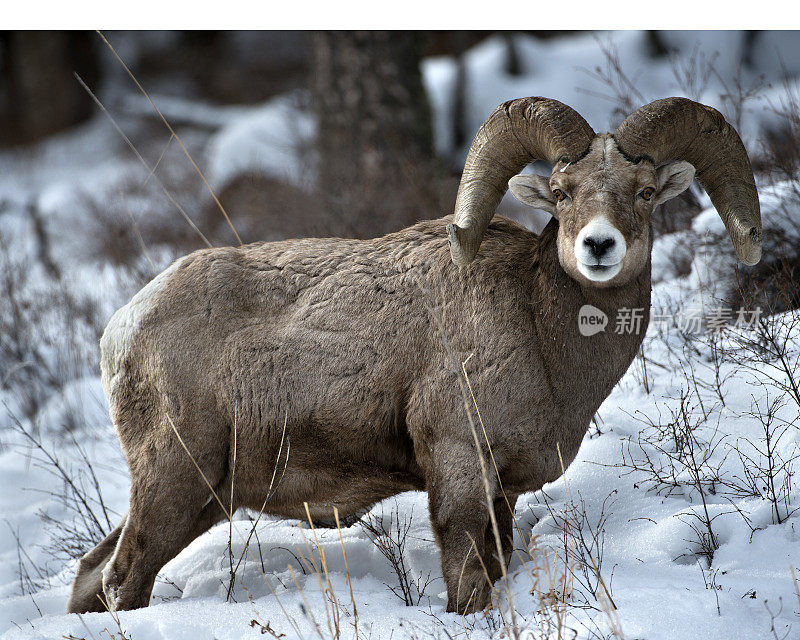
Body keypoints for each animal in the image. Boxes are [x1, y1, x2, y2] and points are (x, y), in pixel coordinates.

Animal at [65, 95, 760, 616]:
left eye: (643, 192)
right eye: (563, 192)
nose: (598, 246)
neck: (542, 338)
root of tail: (122, 326)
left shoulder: (502, 493)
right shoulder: (458, 468)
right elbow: (466, 583)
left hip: (201, 497)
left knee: (94, 575)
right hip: (174, 482)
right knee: (122, 579)